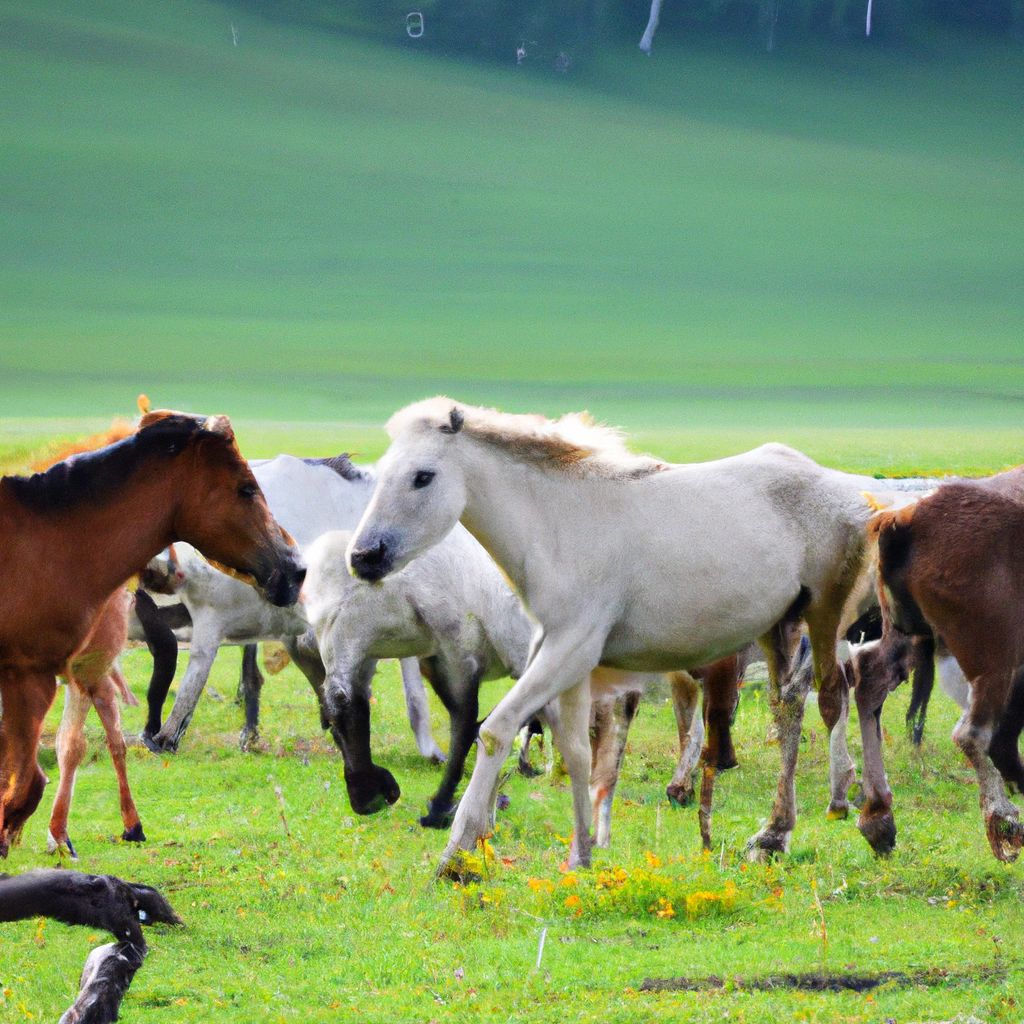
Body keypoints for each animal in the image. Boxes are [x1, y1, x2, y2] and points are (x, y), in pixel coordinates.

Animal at [350, 399, 929, 872]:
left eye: (423, 476)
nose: (363, 557)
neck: (559, 525)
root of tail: (864, 497)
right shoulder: (566, 657)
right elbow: (576, 751)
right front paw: (581, 855)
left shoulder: (569, 648)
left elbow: (496, 730)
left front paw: (457, 851)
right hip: (777, 627)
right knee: (789, 708)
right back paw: (774, 835)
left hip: (826, 617)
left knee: (843, 697)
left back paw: (872, 818)